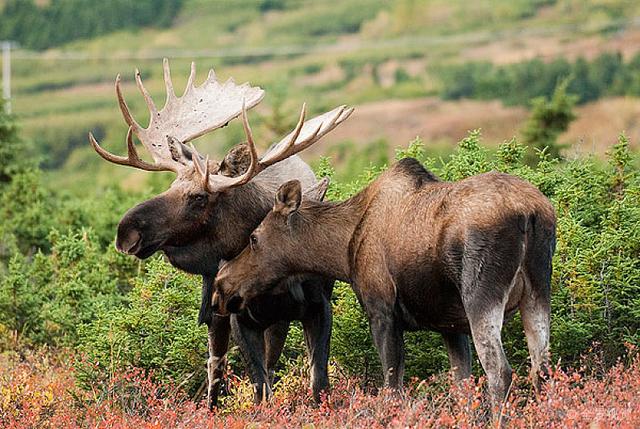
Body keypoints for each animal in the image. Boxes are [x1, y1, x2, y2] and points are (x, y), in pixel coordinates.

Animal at [87, 59, 352, 408]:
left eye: (199, 197)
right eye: (170, 186)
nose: (126, 232)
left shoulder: (318, 308)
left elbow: (318, 382)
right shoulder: (241, 318)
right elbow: (258, 386)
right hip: (218, 309)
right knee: (217, 365)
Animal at [214, 150, 556, 404]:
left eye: (254, 237)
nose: (222, 285)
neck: (343, 253)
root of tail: (531, 213)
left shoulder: (382, 310)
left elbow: (393, 389)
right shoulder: (450, 324)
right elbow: (462, 386)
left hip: (481, 295)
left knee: (501, 372)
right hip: (538, 291)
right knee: (542, 368)